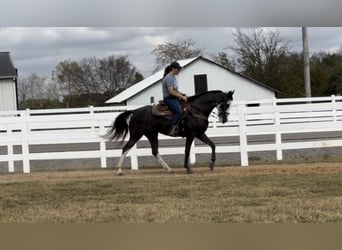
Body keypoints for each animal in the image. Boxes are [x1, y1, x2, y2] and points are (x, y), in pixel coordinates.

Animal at [105, 90, 234, 176]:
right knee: (125, 148)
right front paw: (188, 168)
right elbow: (187, 150)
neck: (196, 110)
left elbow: (213, 145)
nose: (224, 119)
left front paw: (211, 165)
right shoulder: (191, 134)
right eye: (226, 104)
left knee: (155, 151)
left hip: (152, 134)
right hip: (136, 134)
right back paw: (119, 170)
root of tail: (135, 111)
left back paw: (169, 169)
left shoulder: (200, 134)